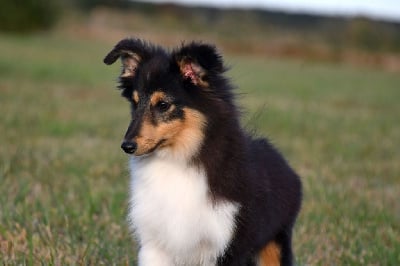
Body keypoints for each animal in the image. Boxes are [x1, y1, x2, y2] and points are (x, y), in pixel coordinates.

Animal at [104, 38, 302, 266]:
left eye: (163, 104)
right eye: (135, 103)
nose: (127, 146)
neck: (177, 161)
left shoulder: (227, 246)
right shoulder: (155, 244)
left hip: (274, 245)